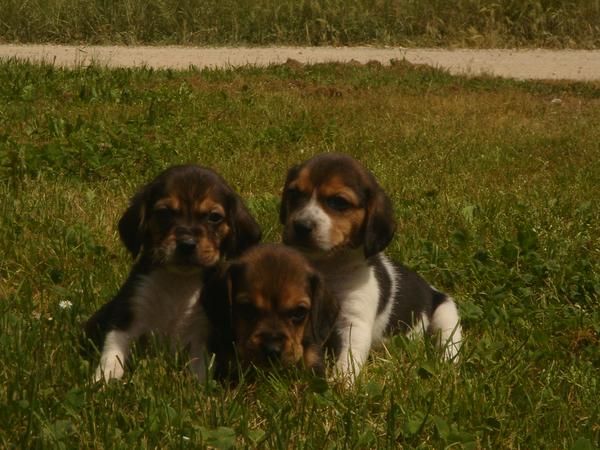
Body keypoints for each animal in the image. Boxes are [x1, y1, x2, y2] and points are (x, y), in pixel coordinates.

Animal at [84, 163, 260, 382]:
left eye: (214, 217)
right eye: (164, 212)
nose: (187, 244)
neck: (178, 281)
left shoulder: (202, 332)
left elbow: (199, 368)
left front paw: (197, 386)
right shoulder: (128, 314)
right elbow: (112, 351)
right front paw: (104, 380)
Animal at [278, 154, 462, 384]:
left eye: (339, 202)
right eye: (294, 193)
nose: (301, 226)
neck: (329, 268)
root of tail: (431, 289)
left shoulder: (354, 323)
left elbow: (348, 360)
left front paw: (340, 385)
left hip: (446, 313)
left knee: (449, 344)